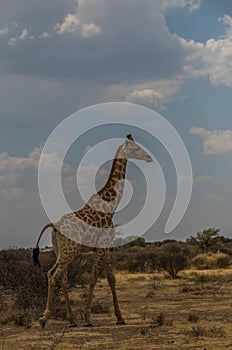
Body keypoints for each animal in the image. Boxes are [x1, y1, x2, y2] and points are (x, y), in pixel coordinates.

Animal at [33, 134, 152, 328]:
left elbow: (111, 279)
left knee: (62, 278)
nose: (149, 157)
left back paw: (72, 320)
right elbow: (94, 278)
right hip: (70, 251)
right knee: (53, 274)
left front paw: (120, 317)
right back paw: (44, 318)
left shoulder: (104, 248)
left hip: (60, 250)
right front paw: (88, 318)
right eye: (136, 148)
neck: (111, 207)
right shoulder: (102, 247)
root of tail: (54, 226)